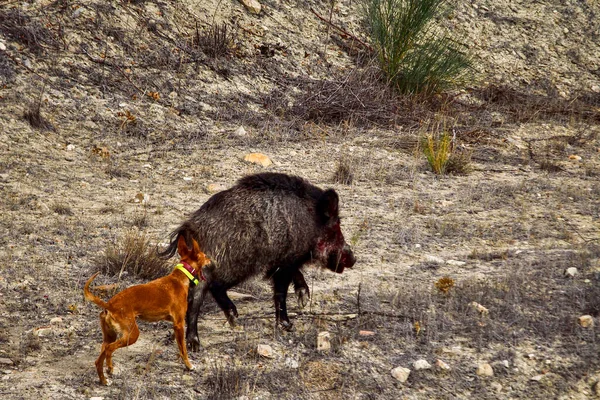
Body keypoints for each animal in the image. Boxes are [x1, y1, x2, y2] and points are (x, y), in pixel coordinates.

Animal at [84, 236, 211, 386]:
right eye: (205, 256)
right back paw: (106, 375)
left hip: (110, 336)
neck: (180, 278)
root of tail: (109, 304)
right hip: (132, 335)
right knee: (109, 350)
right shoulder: (179, 324)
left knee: (100, 357)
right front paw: (189, 365)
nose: (212, 261)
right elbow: (183, 349)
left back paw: (105, 375)